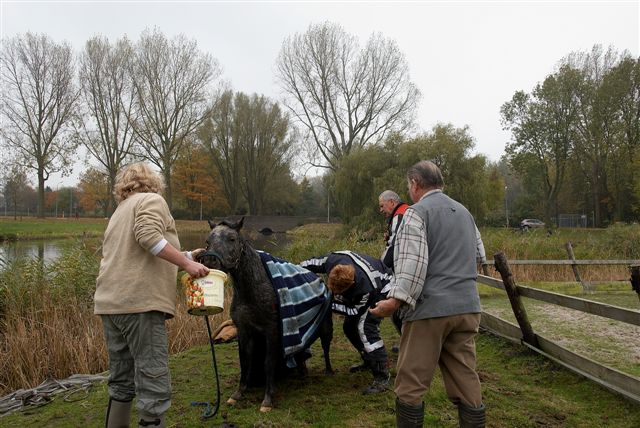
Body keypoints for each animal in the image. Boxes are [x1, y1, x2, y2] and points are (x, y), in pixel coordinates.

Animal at [198, 217, 332, 412]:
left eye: (232, 238)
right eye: (207, 241)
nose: (209, 260)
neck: (252, 289)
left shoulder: (272, 332)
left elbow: (269, 363)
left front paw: (267, 400)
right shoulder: (244, 331)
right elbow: (245, 361)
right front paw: (238, 394)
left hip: (326, 329)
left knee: (326, 348)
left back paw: (328, 371)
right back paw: (302, 373)